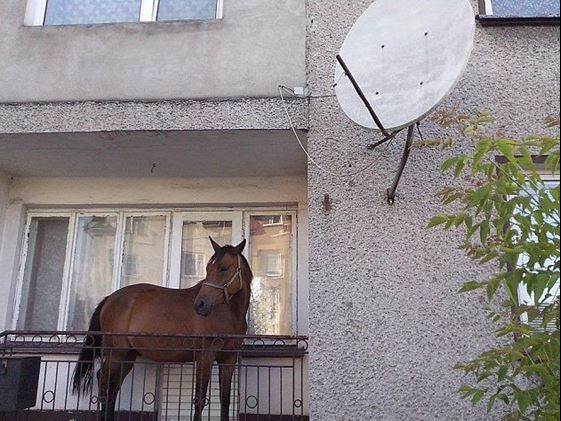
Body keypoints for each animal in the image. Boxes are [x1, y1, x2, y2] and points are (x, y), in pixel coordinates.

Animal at [72, 238, 252, 420]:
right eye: (208, 269)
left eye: (223, 268)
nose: (200, 305)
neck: (228, 313)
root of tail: (109, 298)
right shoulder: (205, 357)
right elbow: (200, 400)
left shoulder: (228, 359)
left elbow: (225, 401)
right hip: (116, 353)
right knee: (105, 383)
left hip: (127, 356)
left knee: (112, 387)